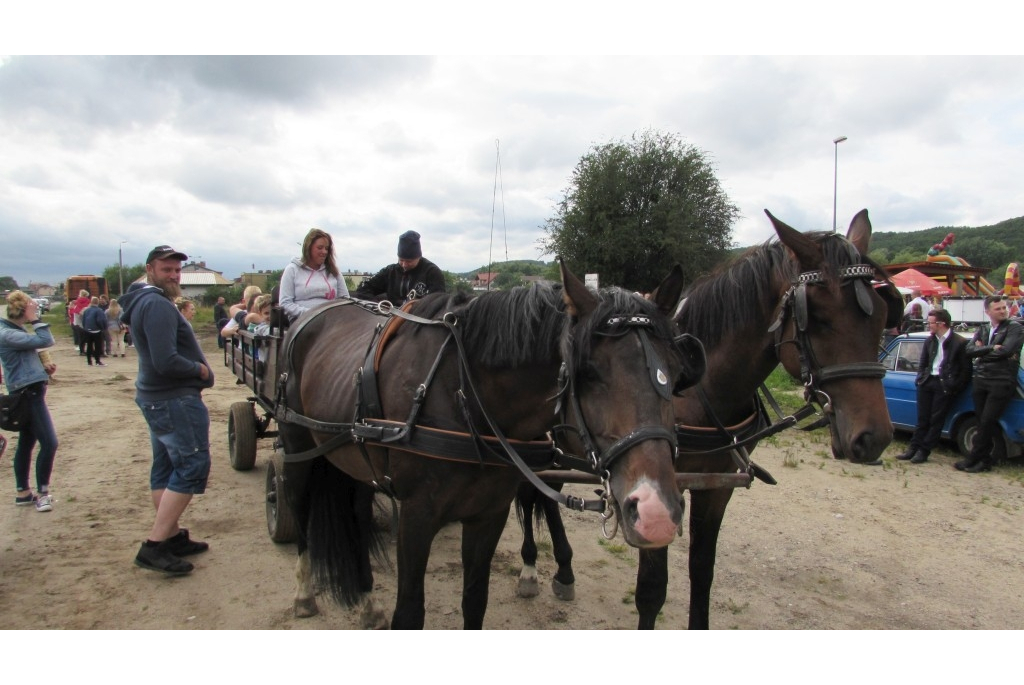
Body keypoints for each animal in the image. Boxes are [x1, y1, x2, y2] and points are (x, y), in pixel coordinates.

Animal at [276, 260, 692, 626]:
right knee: (299, 509)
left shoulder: (488, 514)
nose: (656, 513)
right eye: (587, 372)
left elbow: (475, 601)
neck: (462, 394)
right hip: (298, 449)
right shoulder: (416, 516)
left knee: (359, 519)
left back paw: (365, 600)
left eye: (675, 373)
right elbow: (409, 613)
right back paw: (303, 594)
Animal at [520, 210, 897, 626]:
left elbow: (702, 572)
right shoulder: (661, 490)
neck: (701, 393)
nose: (874, 437)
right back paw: (531, 567)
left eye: (883, 315)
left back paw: (563, 570)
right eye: (820, 318)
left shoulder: (716, 487)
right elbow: (652, 588)